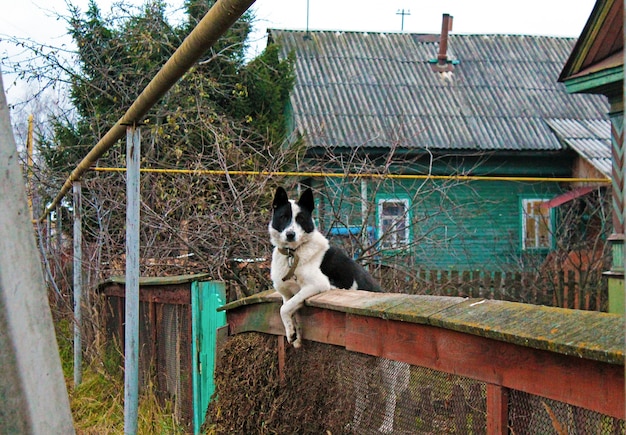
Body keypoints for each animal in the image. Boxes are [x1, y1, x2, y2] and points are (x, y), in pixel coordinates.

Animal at [266, 186, 378, 350]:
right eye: (283, 217)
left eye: (300, 219)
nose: (290, 234)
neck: (293, 253)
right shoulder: (287, 294)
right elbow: (289, 309)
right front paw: (293, 333)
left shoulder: (317, 284)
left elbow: (284, 309)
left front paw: (292, 334)